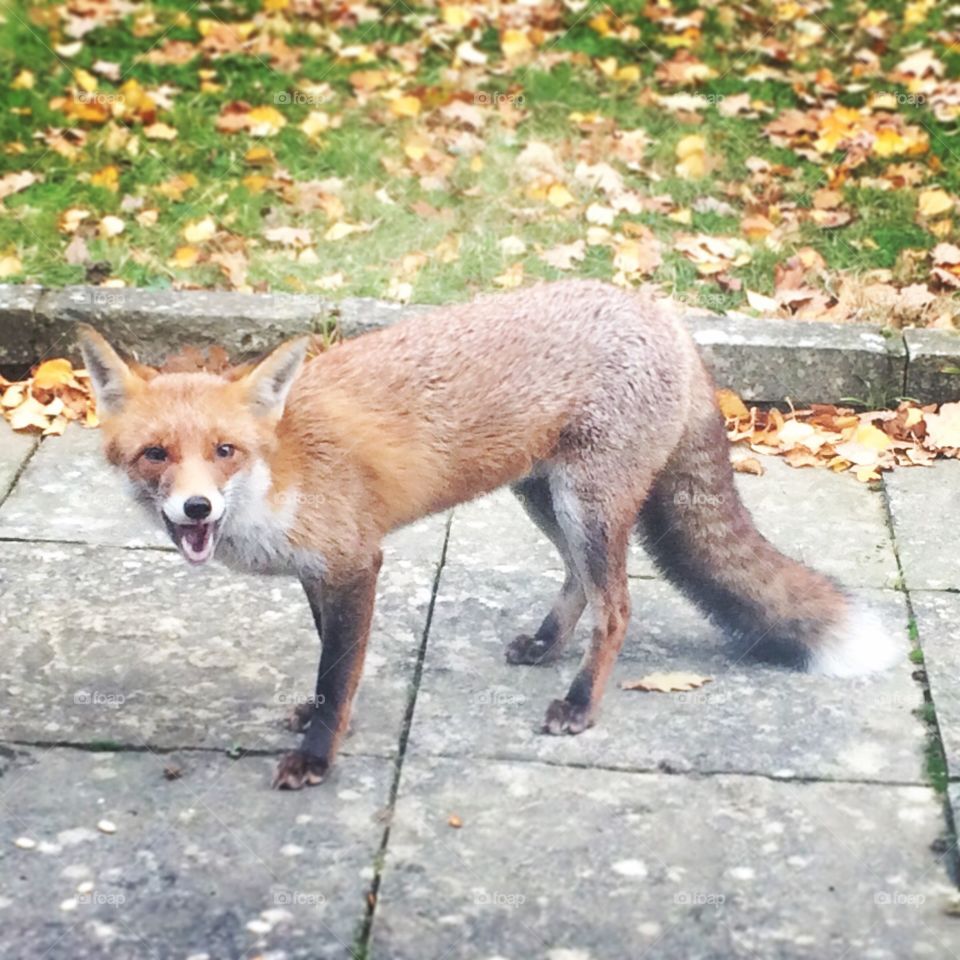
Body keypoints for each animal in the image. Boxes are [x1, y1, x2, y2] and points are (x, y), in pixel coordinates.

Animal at [79, 278, 904, 788]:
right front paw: (318, 717)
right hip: (543, 498)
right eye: (155, 455)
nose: (195, 510)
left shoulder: (356, 562)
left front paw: (318, 754)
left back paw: (580, 704)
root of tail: (663, 315)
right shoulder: (321, 571)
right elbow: (326, 662)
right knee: (579, 582)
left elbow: (338, 668)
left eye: (225, 451)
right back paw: (545, 645)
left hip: (586, 504)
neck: (282, 468)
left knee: (618, 608)